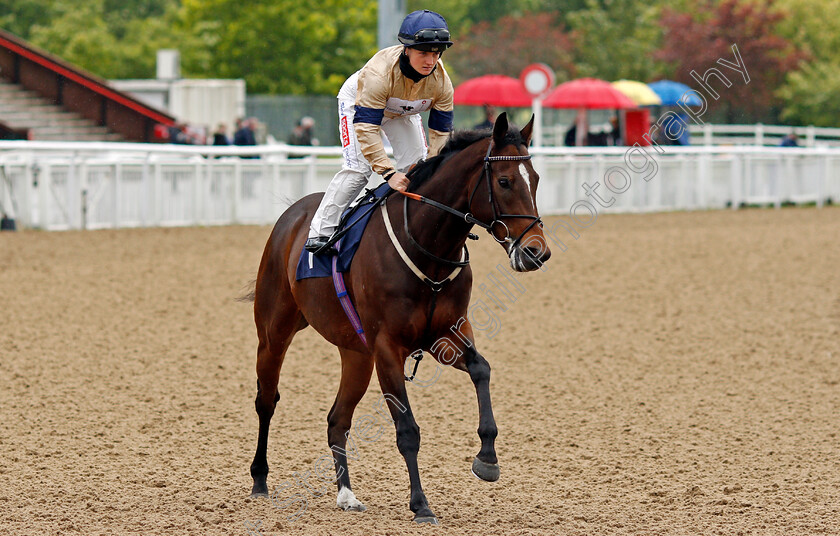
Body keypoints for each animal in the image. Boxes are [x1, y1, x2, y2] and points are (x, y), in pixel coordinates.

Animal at [249, 113, 552, 524]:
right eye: (504, 181)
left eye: (534, 178)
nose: (537, 252)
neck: (427, 245)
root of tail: (293, 215)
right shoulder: (388, 348)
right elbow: (407, 429)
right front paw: (421, 503)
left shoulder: (445, 334)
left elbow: (482, 369)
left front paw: (487, 458)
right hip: (274, 330)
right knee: (267, 400)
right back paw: (259, 479)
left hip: (356, 354)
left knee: (337, 419)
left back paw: (346, 494)